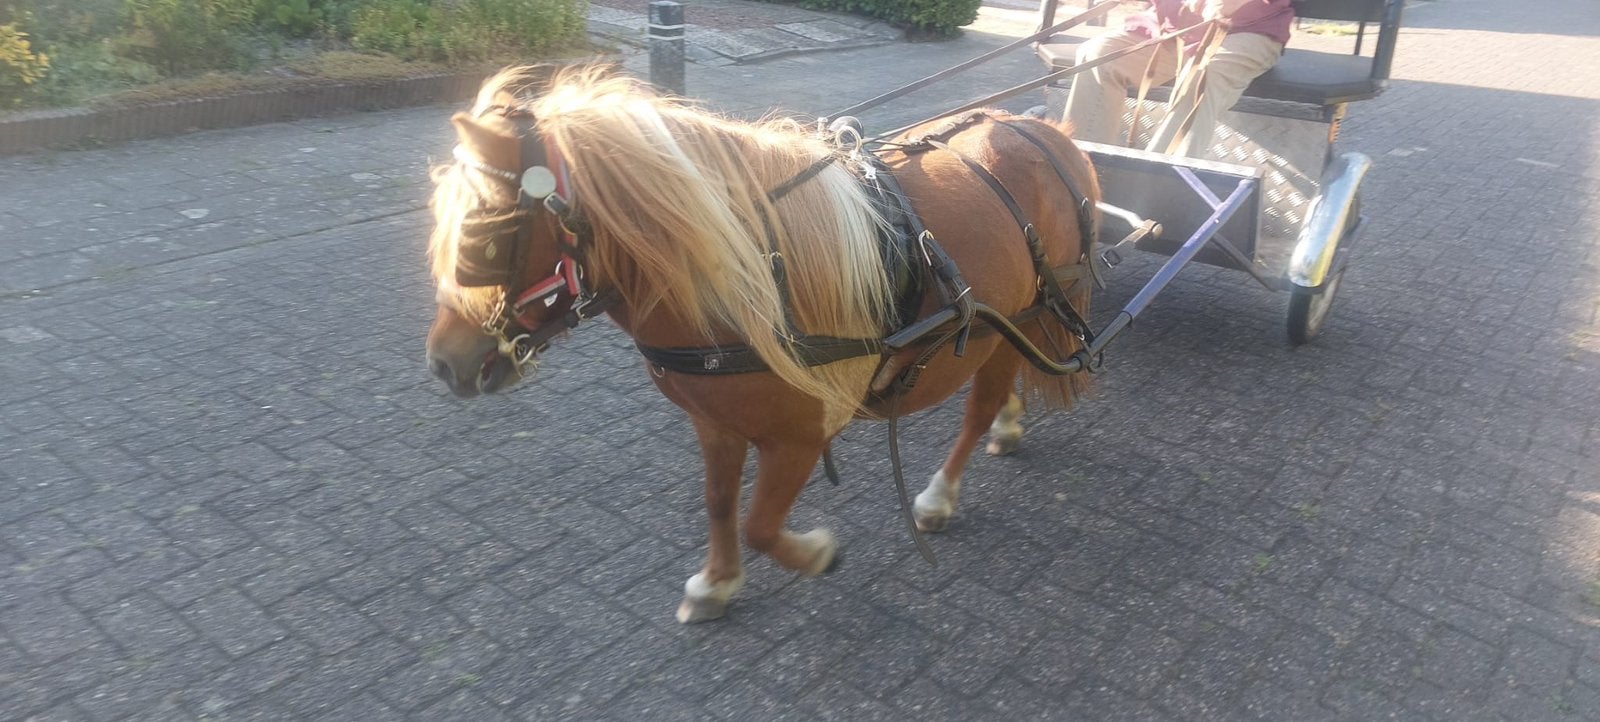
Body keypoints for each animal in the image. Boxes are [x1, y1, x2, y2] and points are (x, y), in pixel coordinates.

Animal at [424, 67, 1099, 623]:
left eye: (485, 241)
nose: (443, 362)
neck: (753, 274)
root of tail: (1052, 135)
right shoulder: (715, 422)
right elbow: (721, 502)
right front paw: (717, 583)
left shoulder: (800, 438)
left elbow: (760, 525)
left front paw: (815, 553)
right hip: (1008, 326)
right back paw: (1009, 423)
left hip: (1021, 316)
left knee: (978, 407)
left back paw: (941, 493)